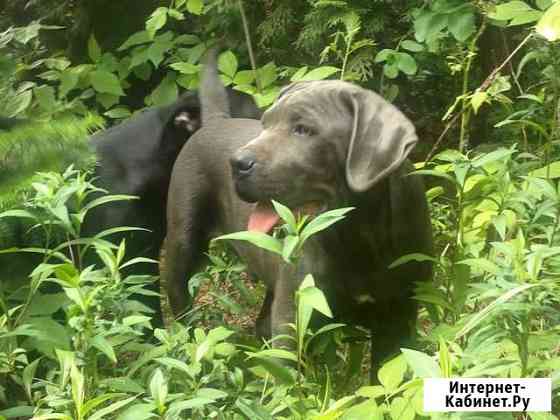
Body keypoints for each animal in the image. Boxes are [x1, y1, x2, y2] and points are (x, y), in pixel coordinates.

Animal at [166, 54, 434, 378]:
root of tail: (216, 120)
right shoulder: (294, 319)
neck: (360, 235)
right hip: (183, 241)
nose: (236, 163)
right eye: (265, 124)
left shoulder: (399, 317)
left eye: (304, 129)